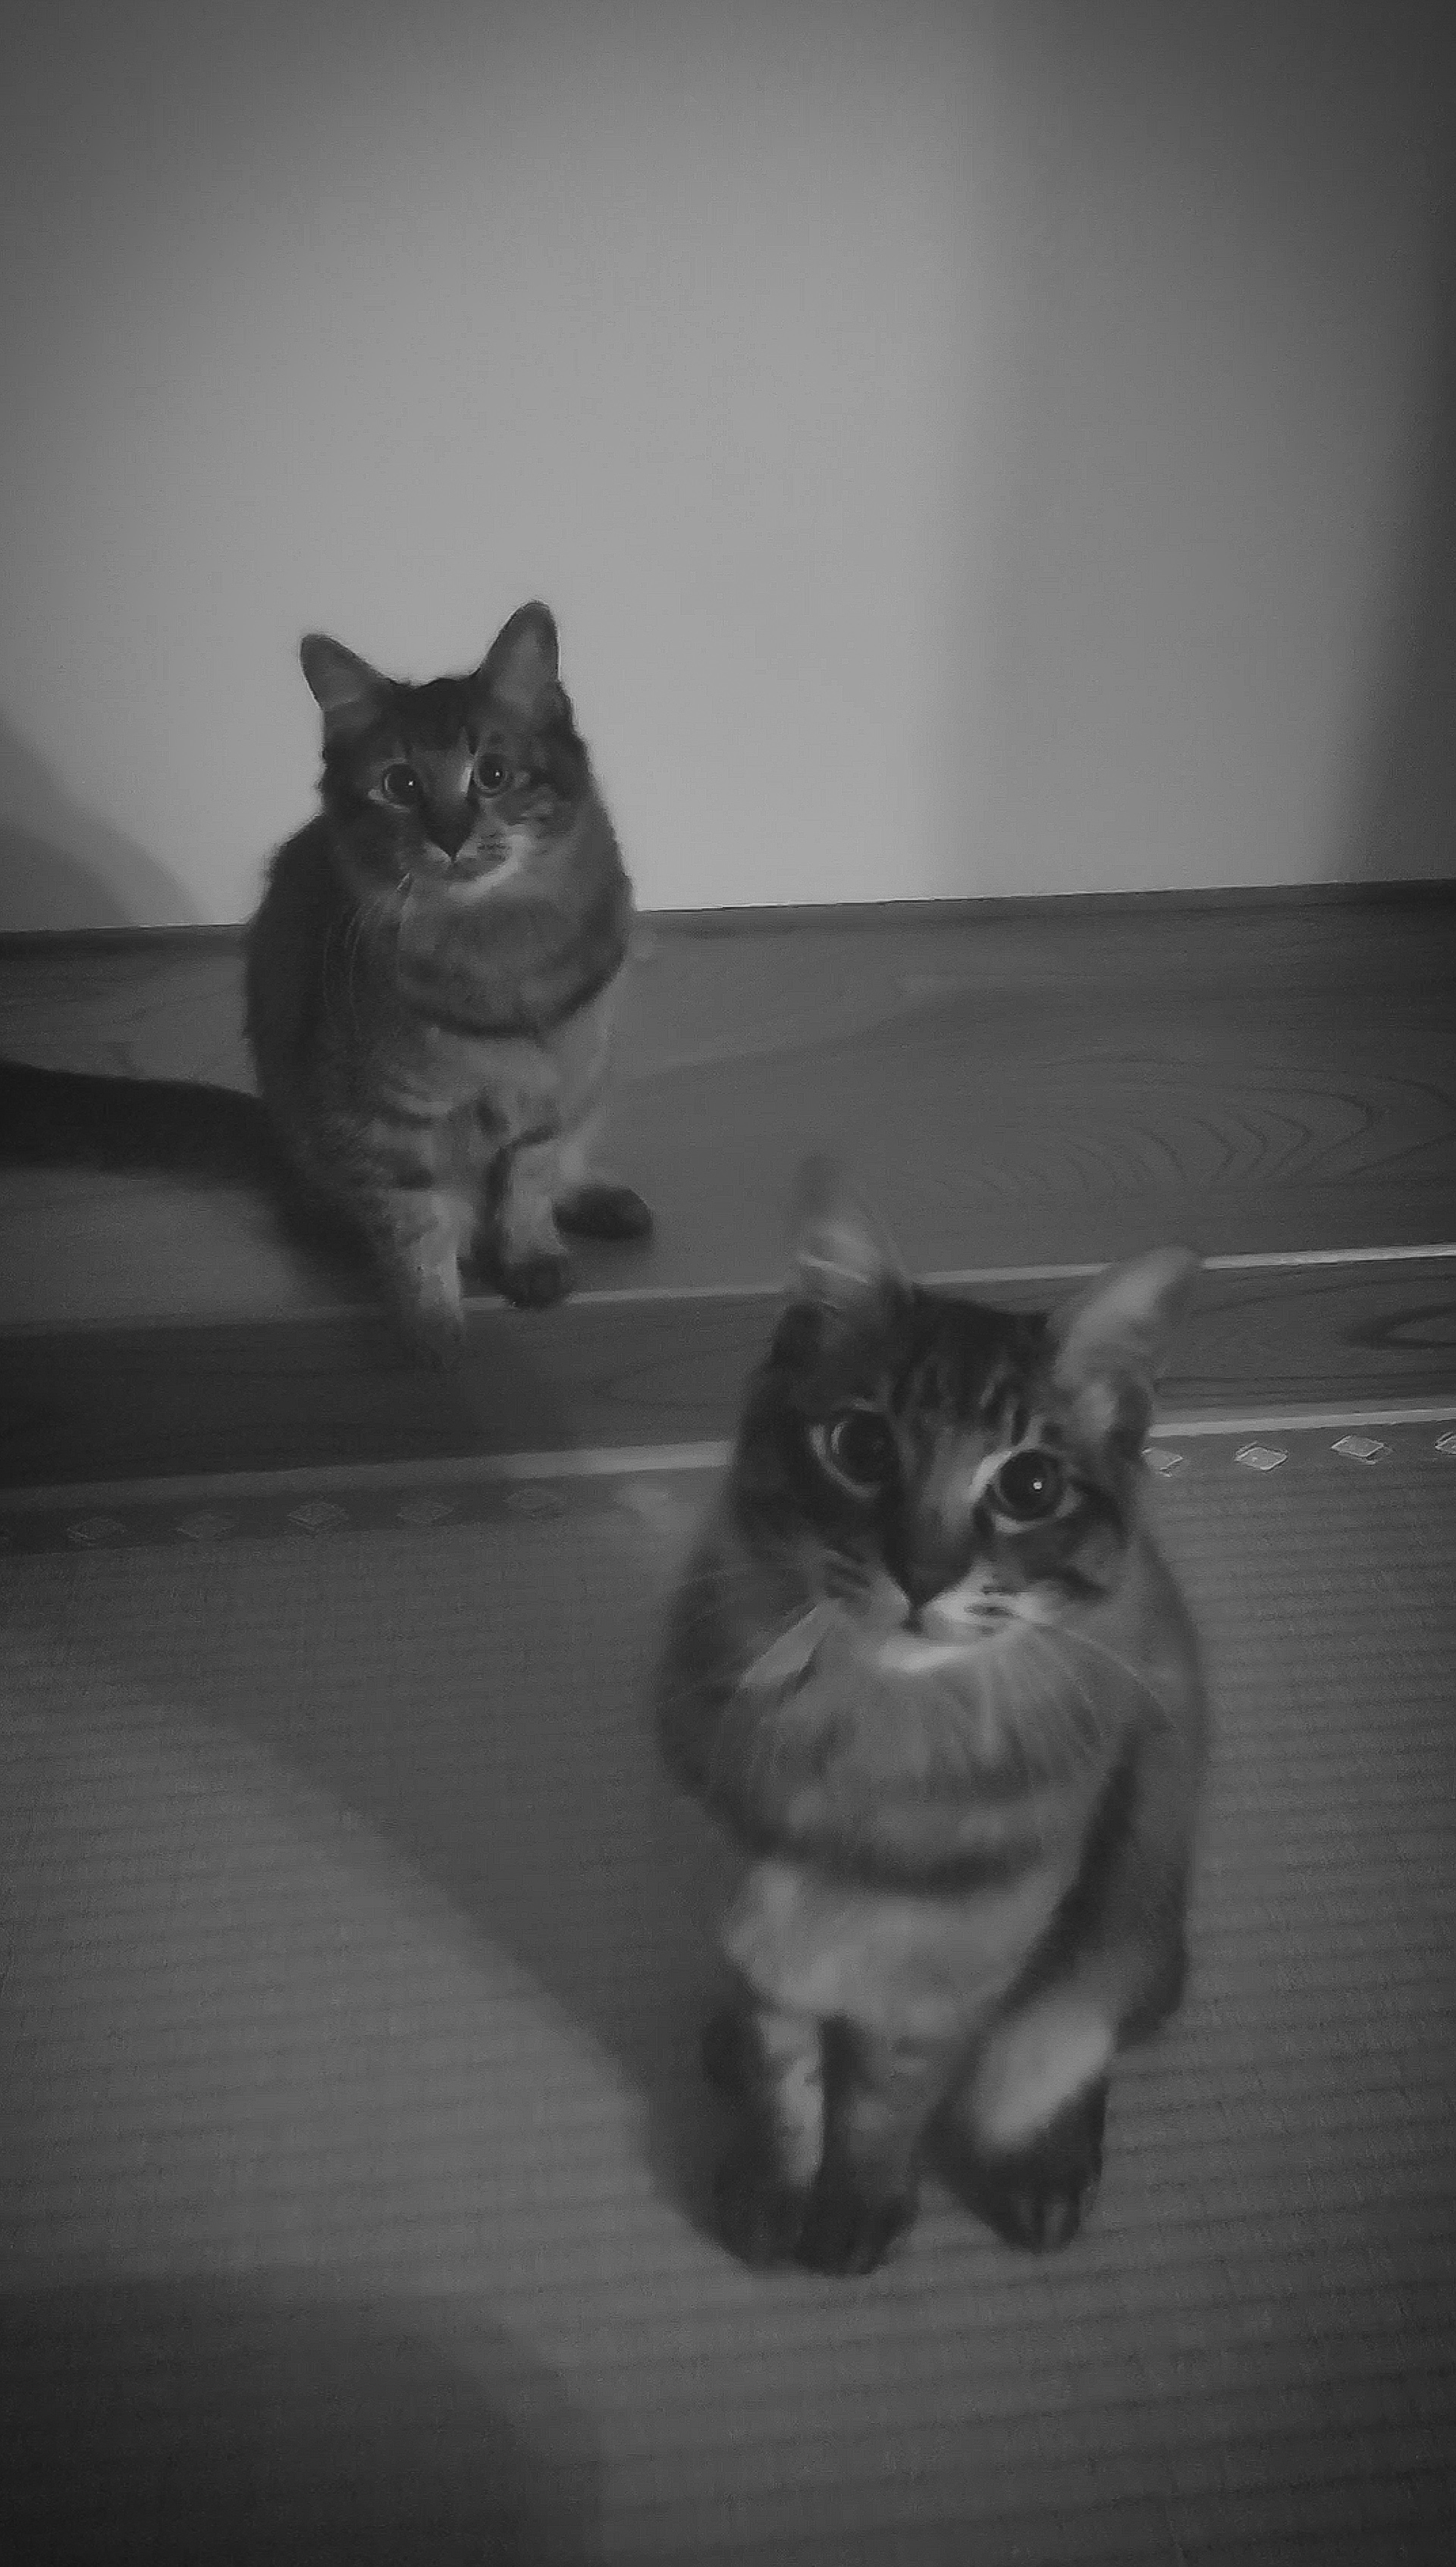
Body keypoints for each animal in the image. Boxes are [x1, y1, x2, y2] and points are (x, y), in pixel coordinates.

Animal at [0, 601, 650, 1365]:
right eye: (401, 785)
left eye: (491, 774)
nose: (451, 837)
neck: (495, 949)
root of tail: (273, 1141)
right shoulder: (383, 1120)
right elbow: (421, 1230)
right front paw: (436, 1340)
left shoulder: (554, 1090)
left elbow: (529, 1180)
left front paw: (531, 1259)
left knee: (565, 1168)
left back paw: (601, 1202)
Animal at [662, 1160, 1207, 2269]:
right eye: (862, 1445)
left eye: (1029, 1484)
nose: (921, 1574)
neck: (872, 1734)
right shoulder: (761, 1920)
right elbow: (789, 2087)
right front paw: (774, 2190)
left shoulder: (949, 1979)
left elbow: (886, 2105)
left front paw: (857, 2211)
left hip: (1127, 1922)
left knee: (1062, 2051)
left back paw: (1046, 2173)